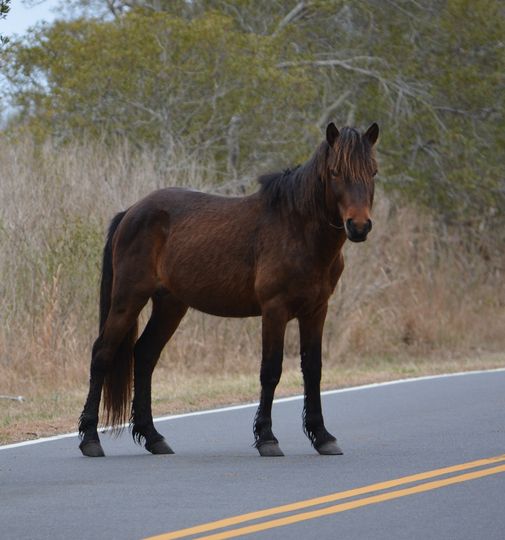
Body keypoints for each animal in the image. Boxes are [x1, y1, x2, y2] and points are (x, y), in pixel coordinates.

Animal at [78, 121, 378, 456]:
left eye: (373, 171)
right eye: (336, 171)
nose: (359, 226)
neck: (297, 228)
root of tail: (131, 211)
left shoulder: (316, 310)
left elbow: (313, 369)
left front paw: (323, 436)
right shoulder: (274, 310)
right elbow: (270, 371)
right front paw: (267, 438)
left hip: (170, 306)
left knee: (144, 356)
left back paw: (154, 437)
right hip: (128, 298)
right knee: (102, 354)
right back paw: (90, 439)